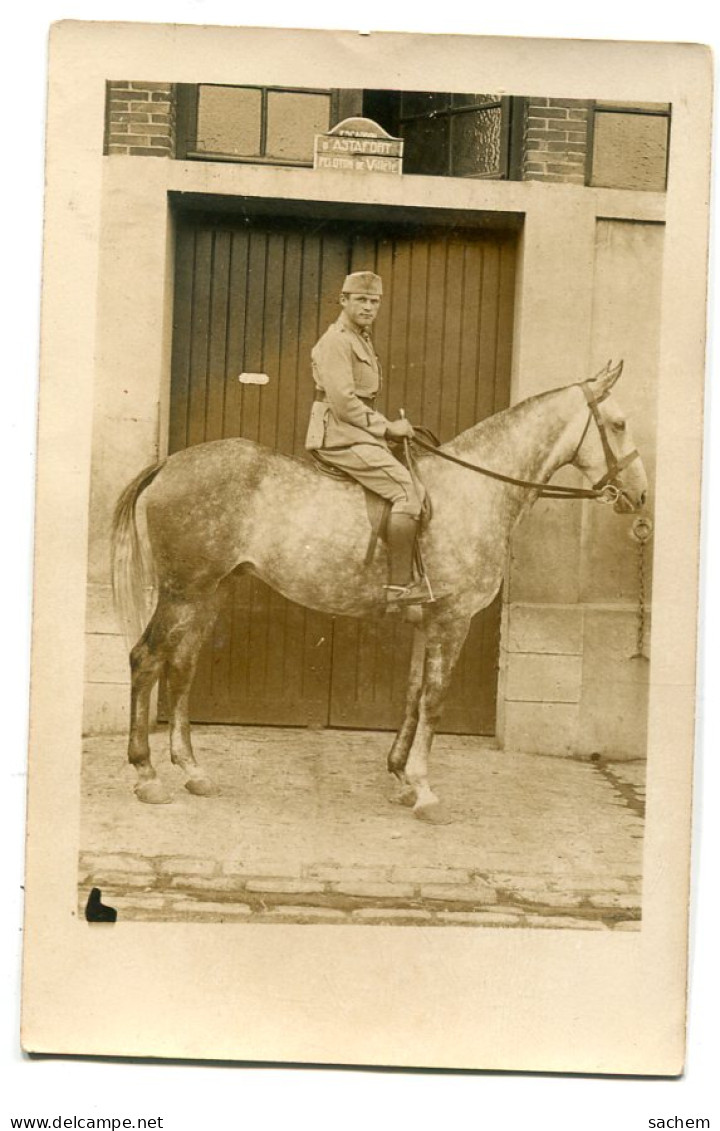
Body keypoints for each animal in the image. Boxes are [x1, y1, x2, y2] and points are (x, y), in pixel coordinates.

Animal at [110, 359, 646, 823]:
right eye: (619, 424)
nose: (639, 497)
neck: (473, 490)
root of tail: (169, 465)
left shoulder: (426, 623)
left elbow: (412, 694)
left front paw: (402, 777)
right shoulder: (452, 621)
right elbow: (434, 700)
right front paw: (425, 791)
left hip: (209, 593)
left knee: (182, 667)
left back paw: (192, 771)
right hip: (183, 592)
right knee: (147, 659)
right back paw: (147, 774)